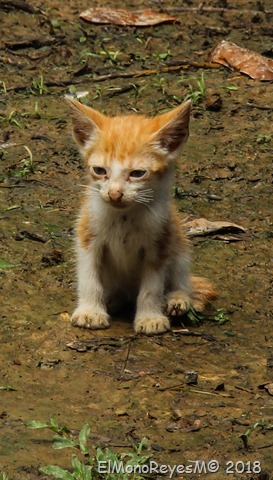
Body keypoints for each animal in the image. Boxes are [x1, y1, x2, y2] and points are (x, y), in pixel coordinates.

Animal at [65, 97, 216, 334]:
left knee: (182, 277)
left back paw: (177, 298)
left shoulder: (159, 243)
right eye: (99, 170)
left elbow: (152, 287)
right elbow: (89, 278)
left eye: (137, 173)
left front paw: (150, 317)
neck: (124, 217)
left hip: (177, 239)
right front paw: (90, 311)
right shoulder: (87, 236)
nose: (114, 194)